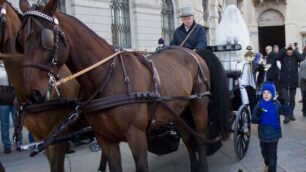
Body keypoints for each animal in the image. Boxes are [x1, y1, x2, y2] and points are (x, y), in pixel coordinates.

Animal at [18, 0, 230, 172]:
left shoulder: (136, 136)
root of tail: (194, 53)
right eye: (20, 40)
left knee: (200, 137)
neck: (108, 77)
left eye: (46, 39)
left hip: (198, 104)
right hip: (178, 110)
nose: (32, 93)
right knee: (187, 138)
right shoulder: (105, 139)